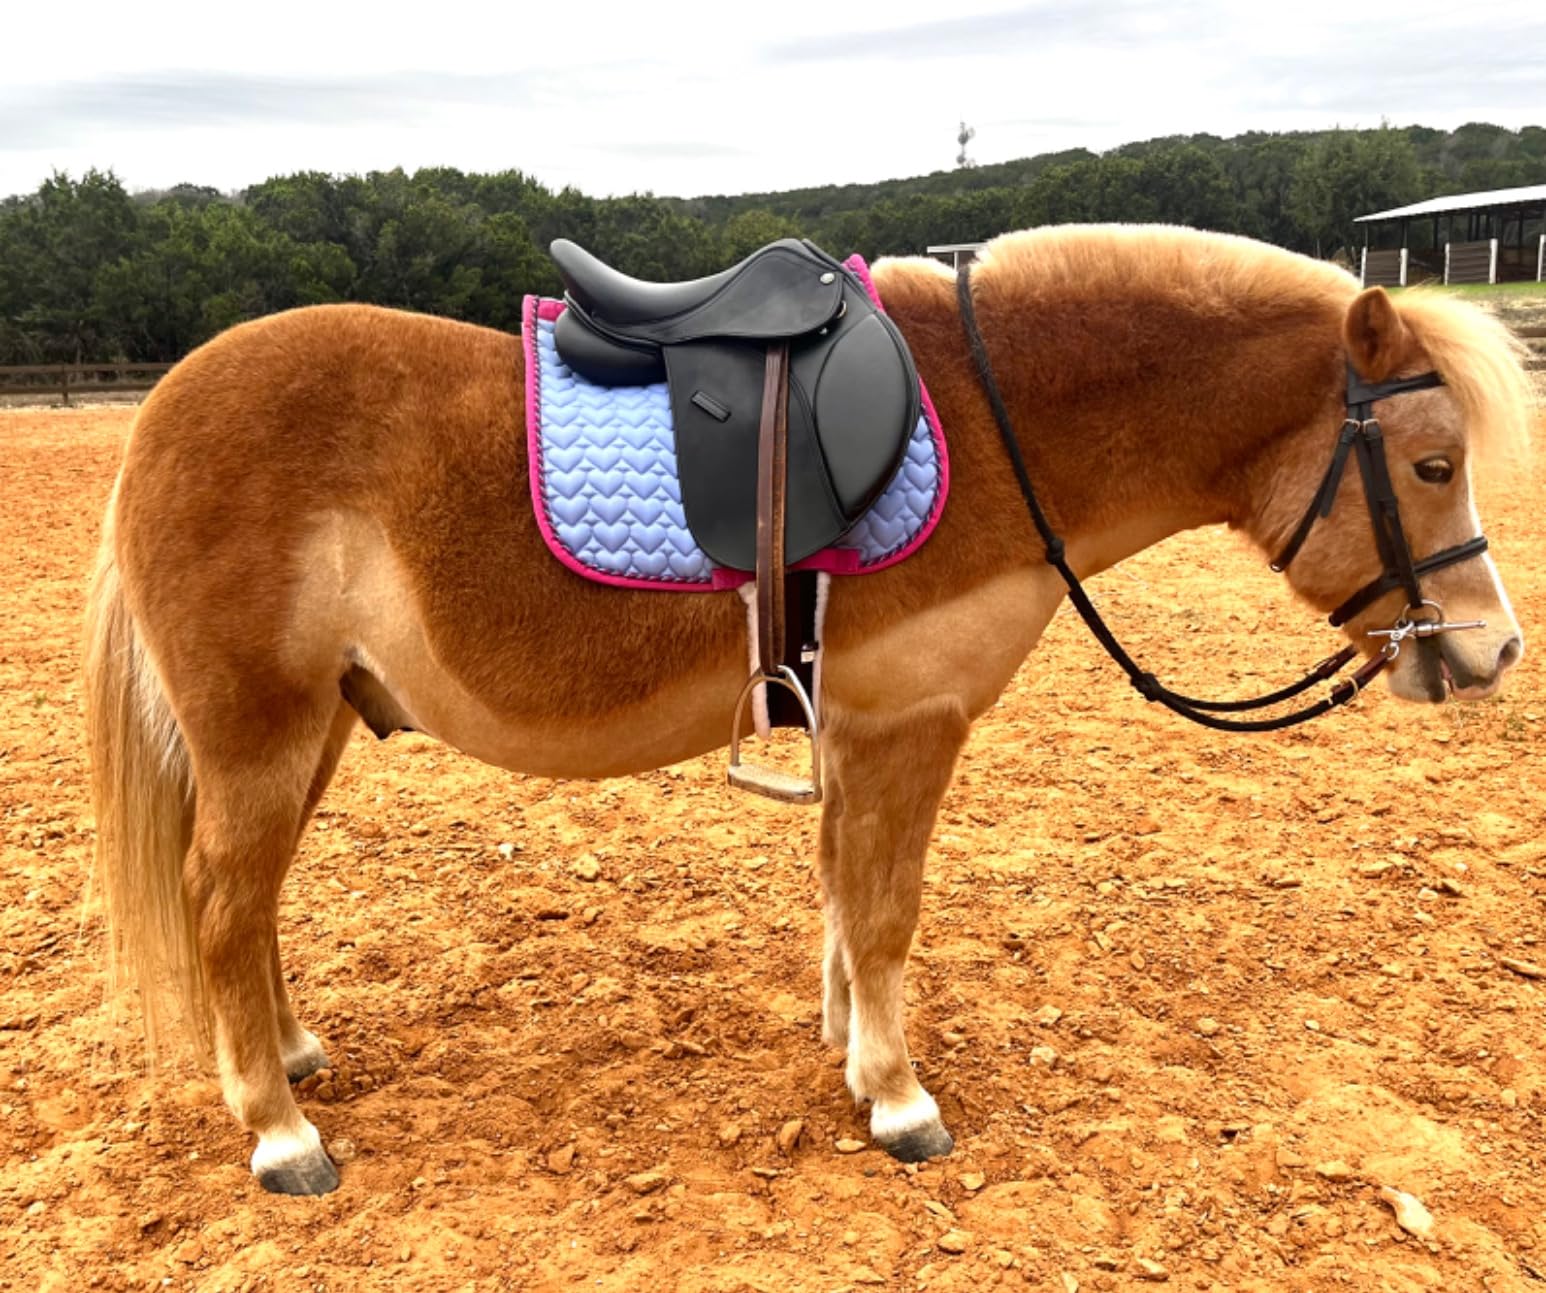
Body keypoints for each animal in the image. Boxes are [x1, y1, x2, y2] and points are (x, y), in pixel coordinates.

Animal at [85, 224, 1534, 1195]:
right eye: (1431, 463)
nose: (1491, 649)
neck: (990, 429)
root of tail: (157, 418)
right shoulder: (907, 722)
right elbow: (884, 909)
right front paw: (896, 1100)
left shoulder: (857, 731)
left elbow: (845, 896)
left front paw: (848, 1046)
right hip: (261, 733)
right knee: (221, 901)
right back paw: (280, 1134)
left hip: (310, 727)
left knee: (246, 903)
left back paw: (291, 1058)